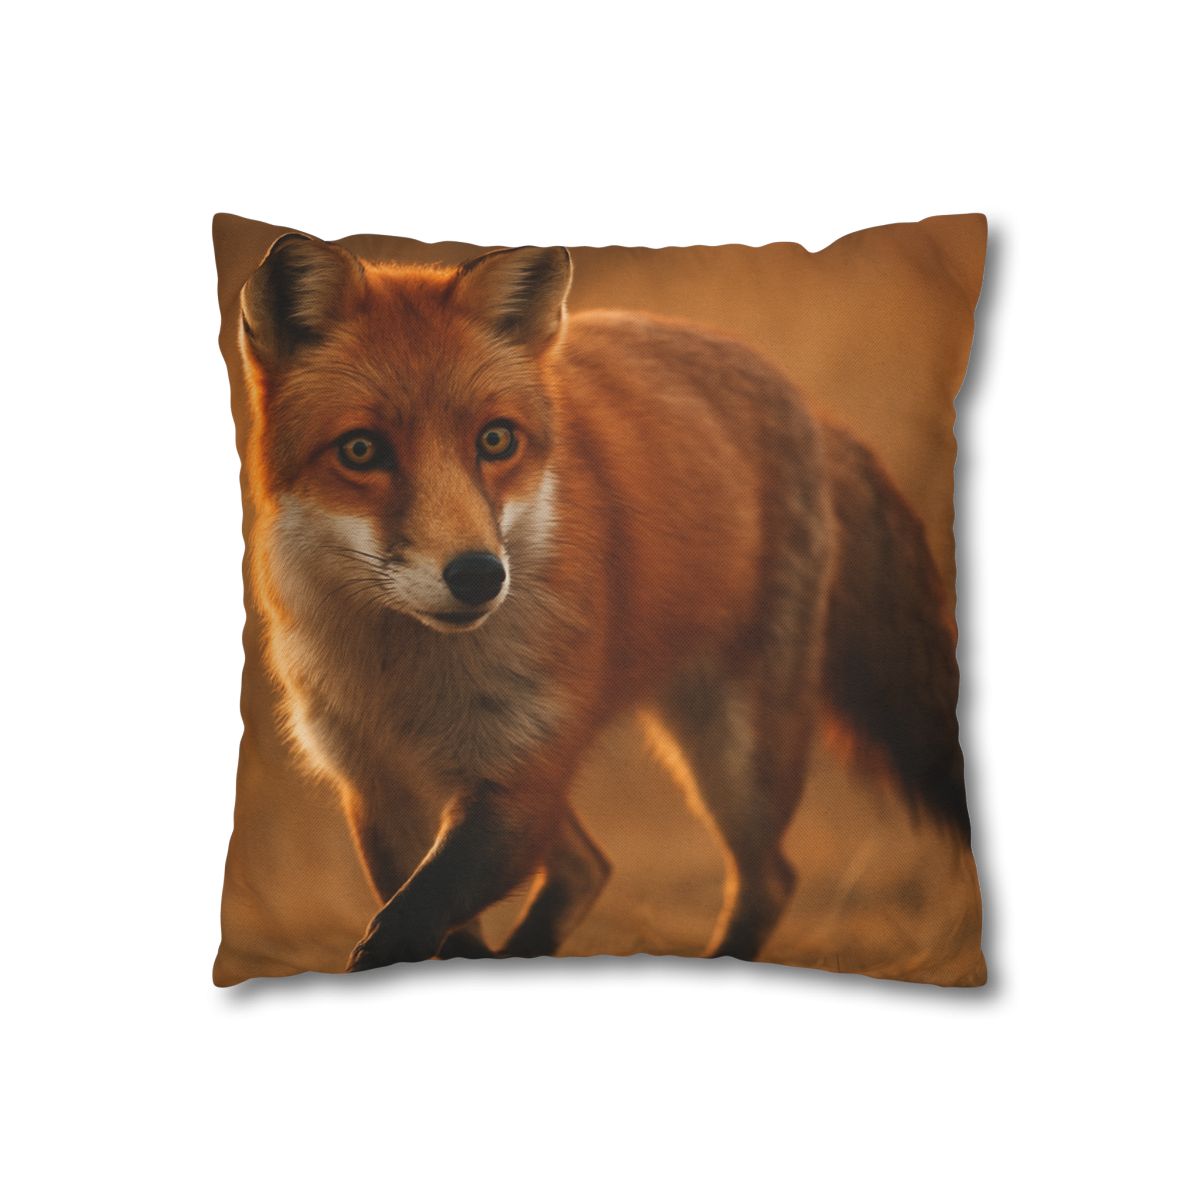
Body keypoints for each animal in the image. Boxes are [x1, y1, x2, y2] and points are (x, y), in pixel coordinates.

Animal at [238, 232, 969, 972]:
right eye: (361, 450)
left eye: (495, 439)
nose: (478, 576)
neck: (409, 678)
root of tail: (810, 406)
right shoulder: (378, 790)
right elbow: (428, 930)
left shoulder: (520, 779)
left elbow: (409, 921)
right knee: (588, 867)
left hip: (733, 757)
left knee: (765, 878)